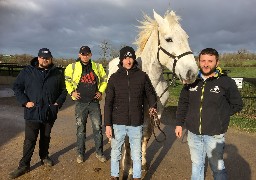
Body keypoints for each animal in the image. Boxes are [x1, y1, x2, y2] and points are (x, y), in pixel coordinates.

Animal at [106, 9, 198, 179]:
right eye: (169, 39)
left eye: (187, 37)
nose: (192, 73)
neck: (151, 80)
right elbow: (129, 140)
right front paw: (127, 166)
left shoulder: (155, 113)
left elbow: (146, 136)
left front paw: (142, 163)